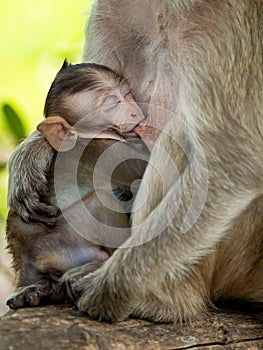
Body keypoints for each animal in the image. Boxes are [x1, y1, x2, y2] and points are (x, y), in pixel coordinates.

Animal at [5, 60, 148, 308]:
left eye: (126, 93)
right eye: (112, 103)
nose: (134, 110)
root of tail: (30, 264)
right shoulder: (115, 151)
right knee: (101, 202)